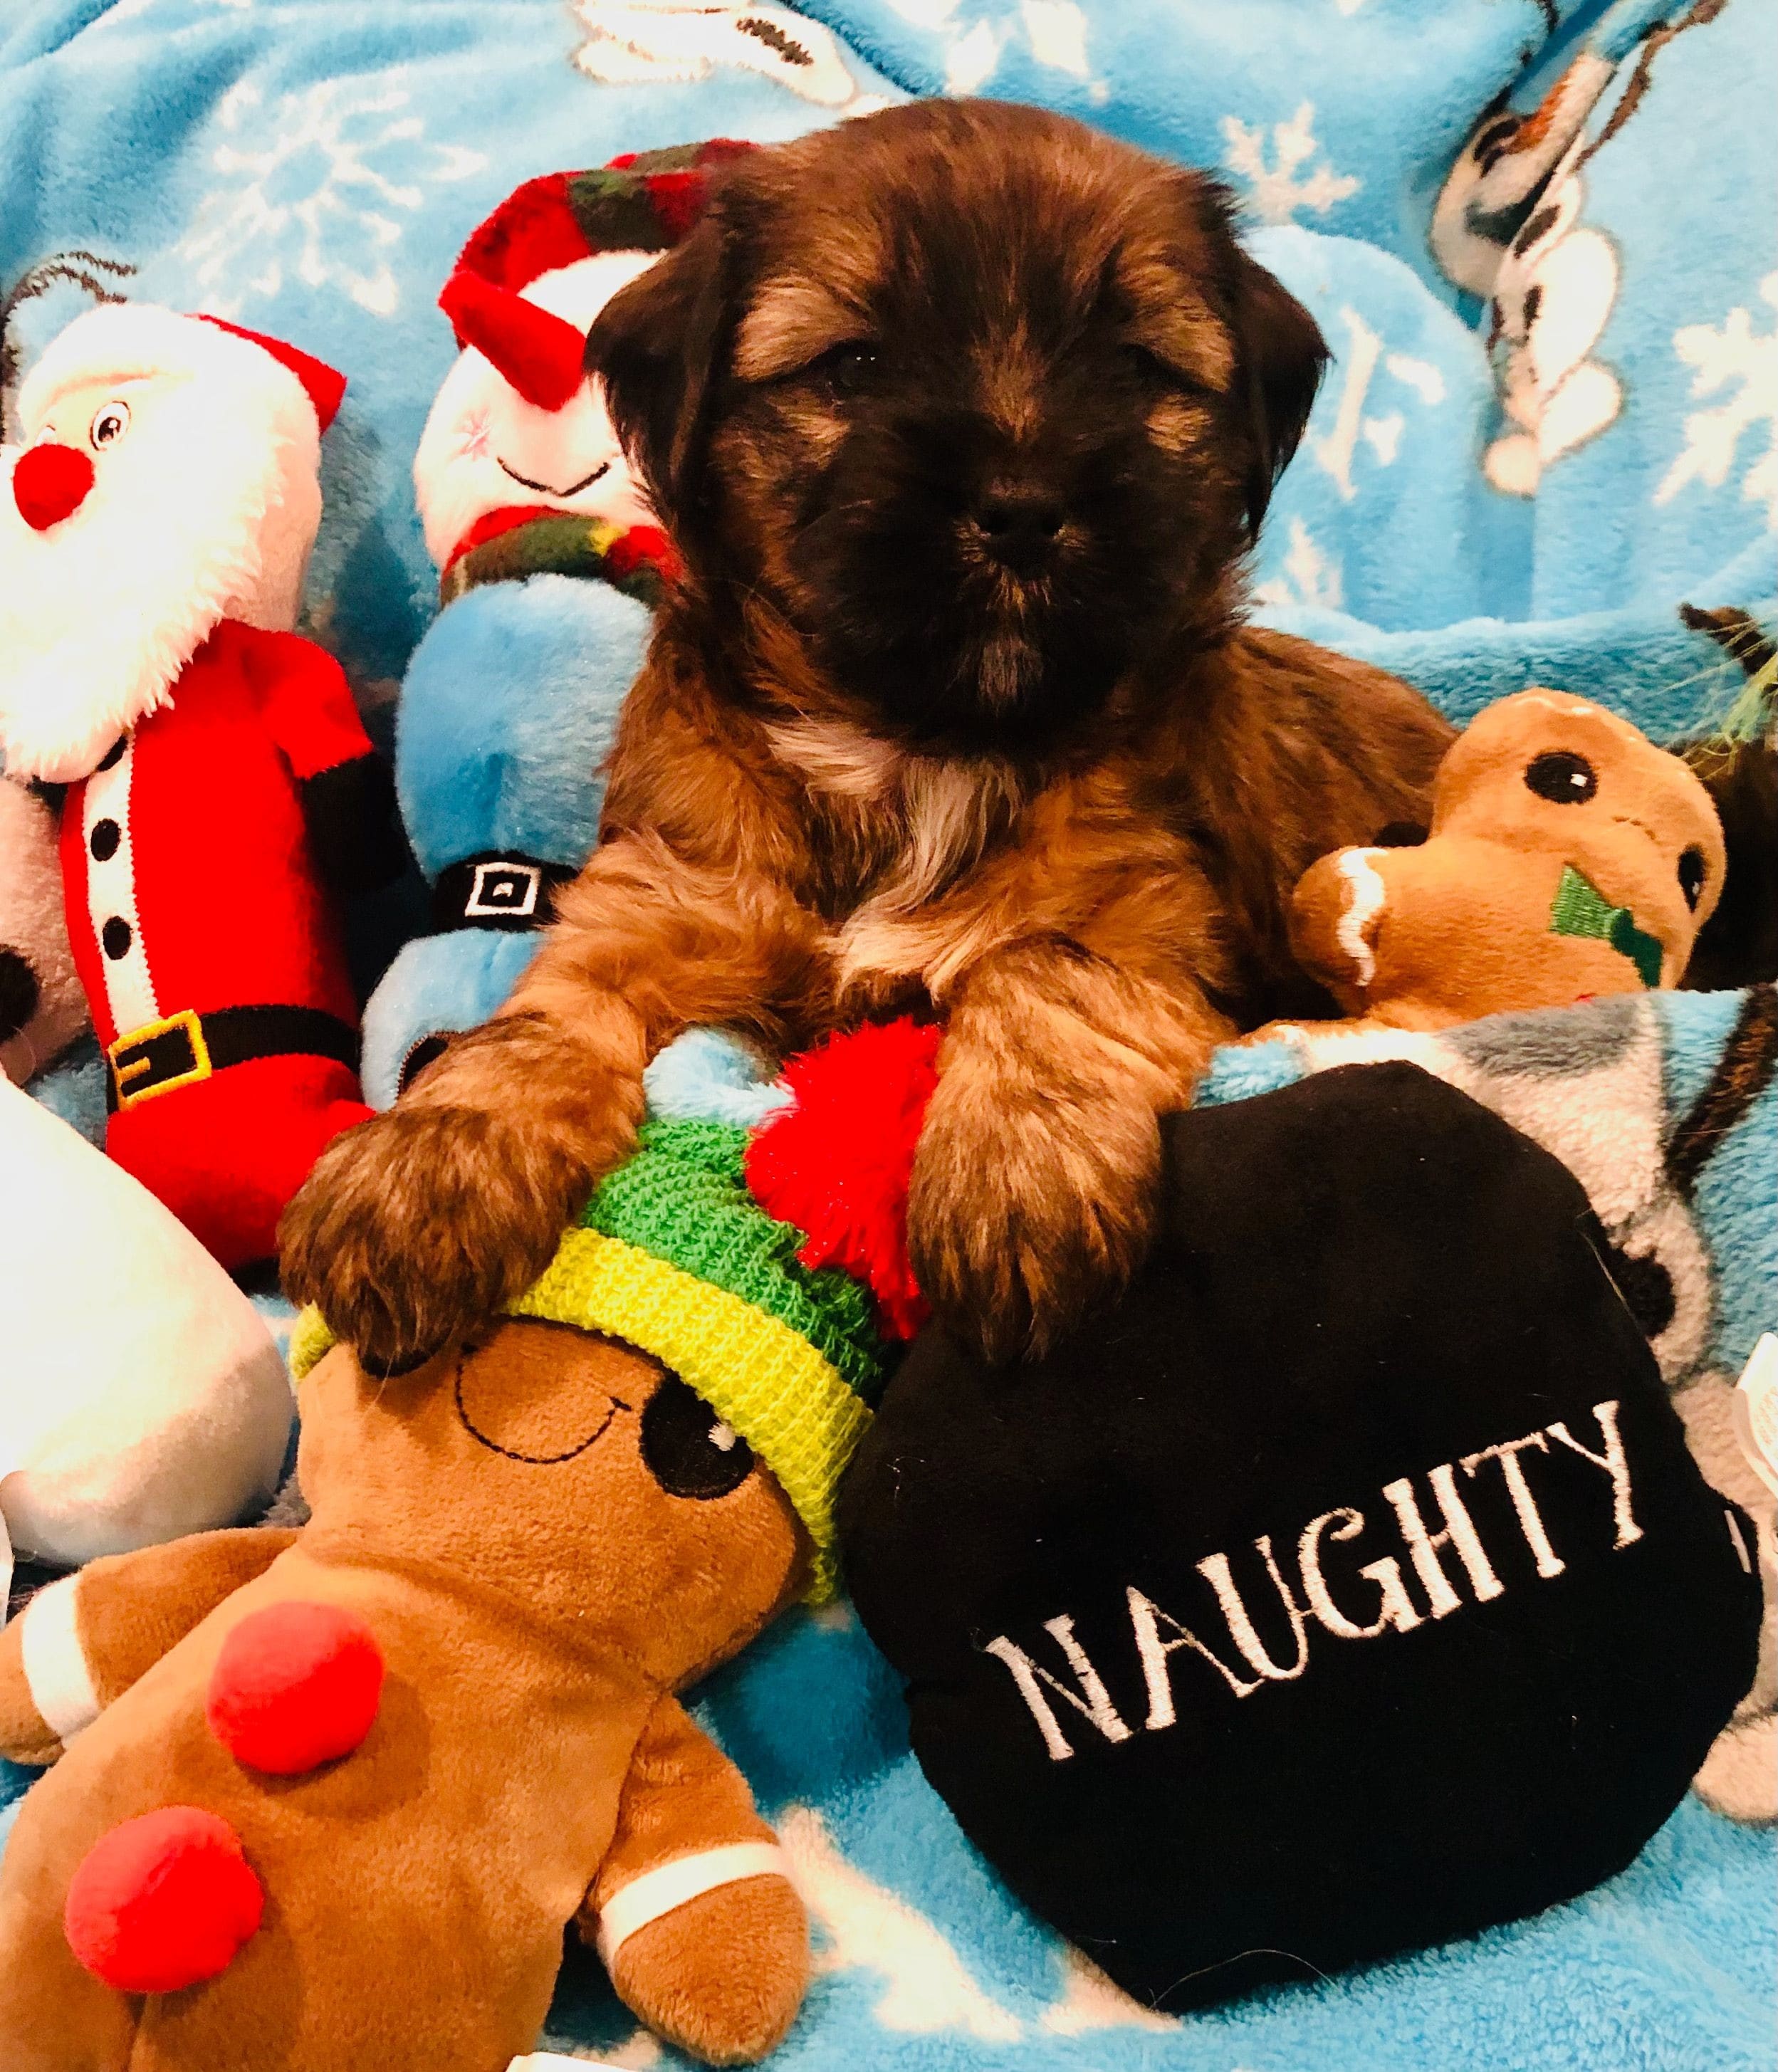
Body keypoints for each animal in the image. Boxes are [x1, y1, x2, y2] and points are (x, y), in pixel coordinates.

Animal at [279, 97, 1458, 1367]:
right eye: (854, 366)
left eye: (1134, 368)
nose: (1022, 506)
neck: (919, 745)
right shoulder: (657, 905)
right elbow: (540, 1025)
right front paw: (425, 1168)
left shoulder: (1149, 918)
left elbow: (1047, 968)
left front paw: (1015, 1174)